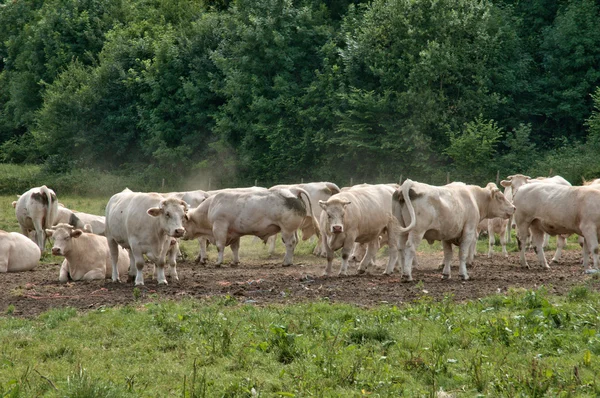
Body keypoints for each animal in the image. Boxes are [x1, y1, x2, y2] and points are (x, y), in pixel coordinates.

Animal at [184, 187, 318, 268]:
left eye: (183, 221)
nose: (181, 234)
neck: (211, 206)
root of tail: (294, 191)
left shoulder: (219, 227)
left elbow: (219, 246)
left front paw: (218, 262)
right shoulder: (234, 233)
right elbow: (235, 248)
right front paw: (235, 262)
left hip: (287, 230)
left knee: (290, 243)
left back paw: (286, 262)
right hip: (292, 230)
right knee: (294, 242)